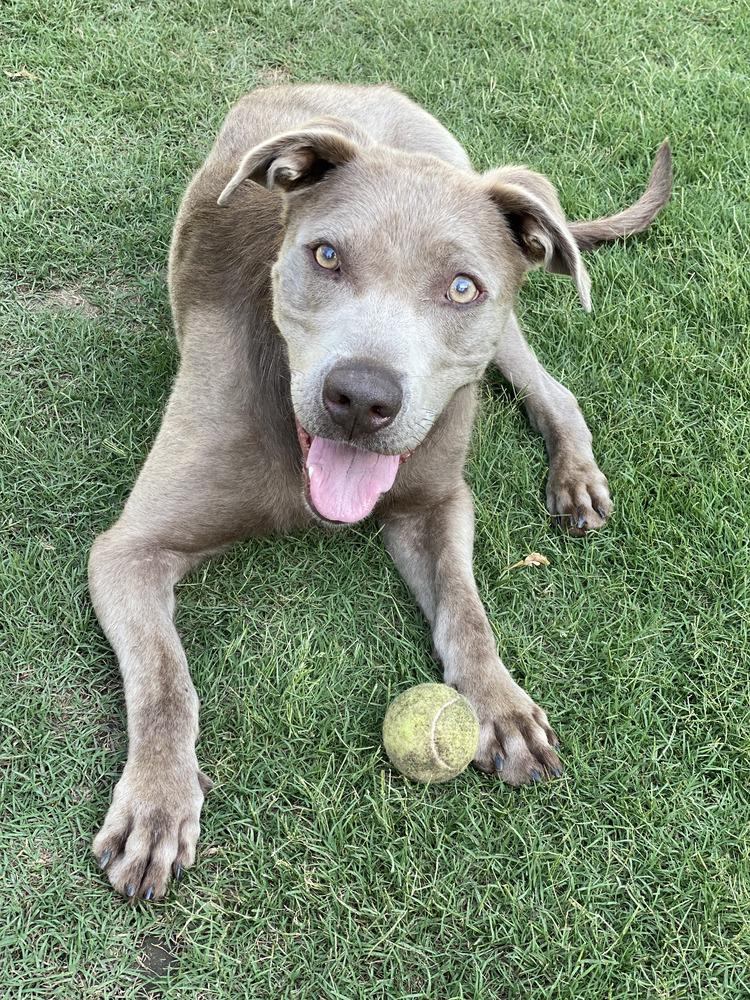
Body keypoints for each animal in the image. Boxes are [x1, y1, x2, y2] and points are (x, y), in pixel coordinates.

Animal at [89, 84, 676, 900]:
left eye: (461, 287)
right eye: (326, 255)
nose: (361, 398)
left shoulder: (437, 504)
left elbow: (466, 608)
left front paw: (498, 703)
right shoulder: (130, 550)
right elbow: (167, 681)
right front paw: (158, 801)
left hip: (504, 326)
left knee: (550, 388)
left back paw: (576, 477)